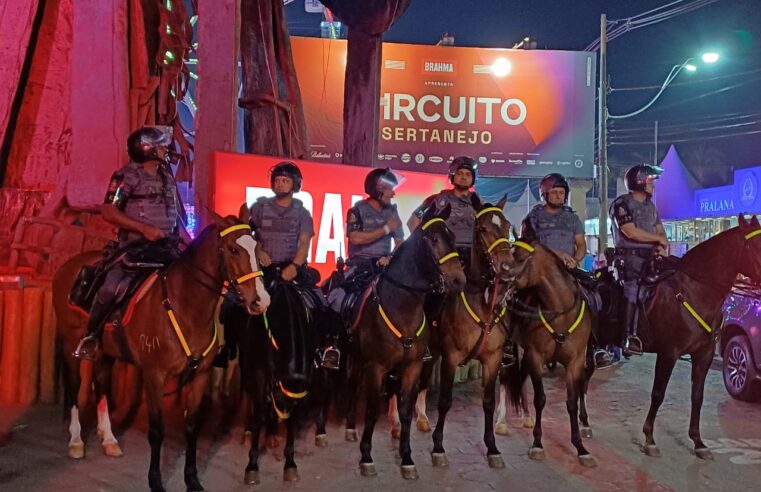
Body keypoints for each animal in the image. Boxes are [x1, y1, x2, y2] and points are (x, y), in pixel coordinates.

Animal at [52, 215, 268, 492]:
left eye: (257, 248)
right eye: (233, 250)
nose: (260, 301)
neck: (185, 306)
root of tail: (67, 266)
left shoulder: (199, 376)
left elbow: (191, 428)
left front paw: (192, 479)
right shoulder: (155, 376)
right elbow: (157, 431)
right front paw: (155, 480)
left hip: (105, 350)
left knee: (101, 384)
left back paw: (108, 438)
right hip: (72, 344)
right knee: (74, 387)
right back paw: (76, 441)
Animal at [350, 204, 464, 480]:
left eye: (453, 237)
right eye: (433, 239)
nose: (459, 280)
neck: (402, 306)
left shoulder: (413, 367)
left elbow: (405, 411)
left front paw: (407, 458)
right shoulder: (376, 367)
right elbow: (371, 411)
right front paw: (366, 457)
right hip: (356, 358)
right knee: (353, 387)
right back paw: (349, 429)